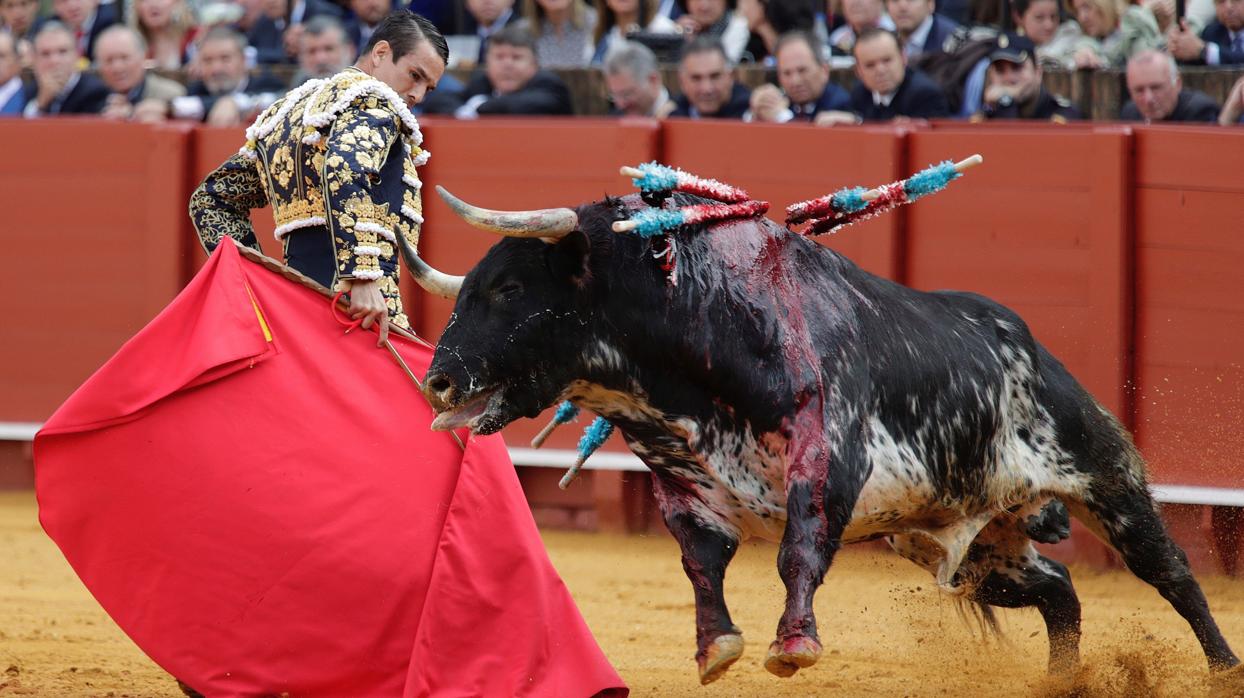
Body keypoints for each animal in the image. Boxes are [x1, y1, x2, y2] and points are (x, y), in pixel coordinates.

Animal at [410, 190, 1234, 681]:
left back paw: (1223, 666)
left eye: (510, 288)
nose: (438, 382)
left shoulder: (827, 459)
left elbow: (797, 551)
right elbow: (700, 563)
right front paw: (716, 649)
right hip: (964, 545)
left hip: (1104, 476)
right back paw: (1062, 684)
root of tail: (1030, 342)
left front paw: (793, 645)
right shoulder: (684, 483)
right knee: (1059, 588)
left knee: (1170, 573)